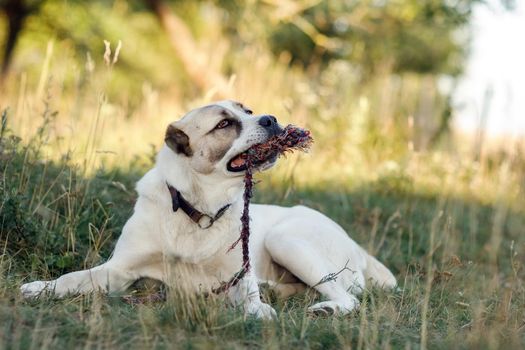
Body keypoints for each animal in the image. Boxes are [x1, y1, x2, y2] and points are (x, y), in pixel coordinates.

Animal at [21, 100, 398, 318]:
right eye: (224, 124)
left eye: (248, 111)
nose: (271, 118)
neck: (199, 210)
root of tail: (358, 247)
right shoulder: (119, 271)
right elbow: (72, 278)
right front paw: (40, 288)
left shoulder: (239, 276)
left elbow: (251, 301)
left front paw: (258, 310)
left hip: (286, 239)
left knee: (348, 298)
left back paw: (324, 308)